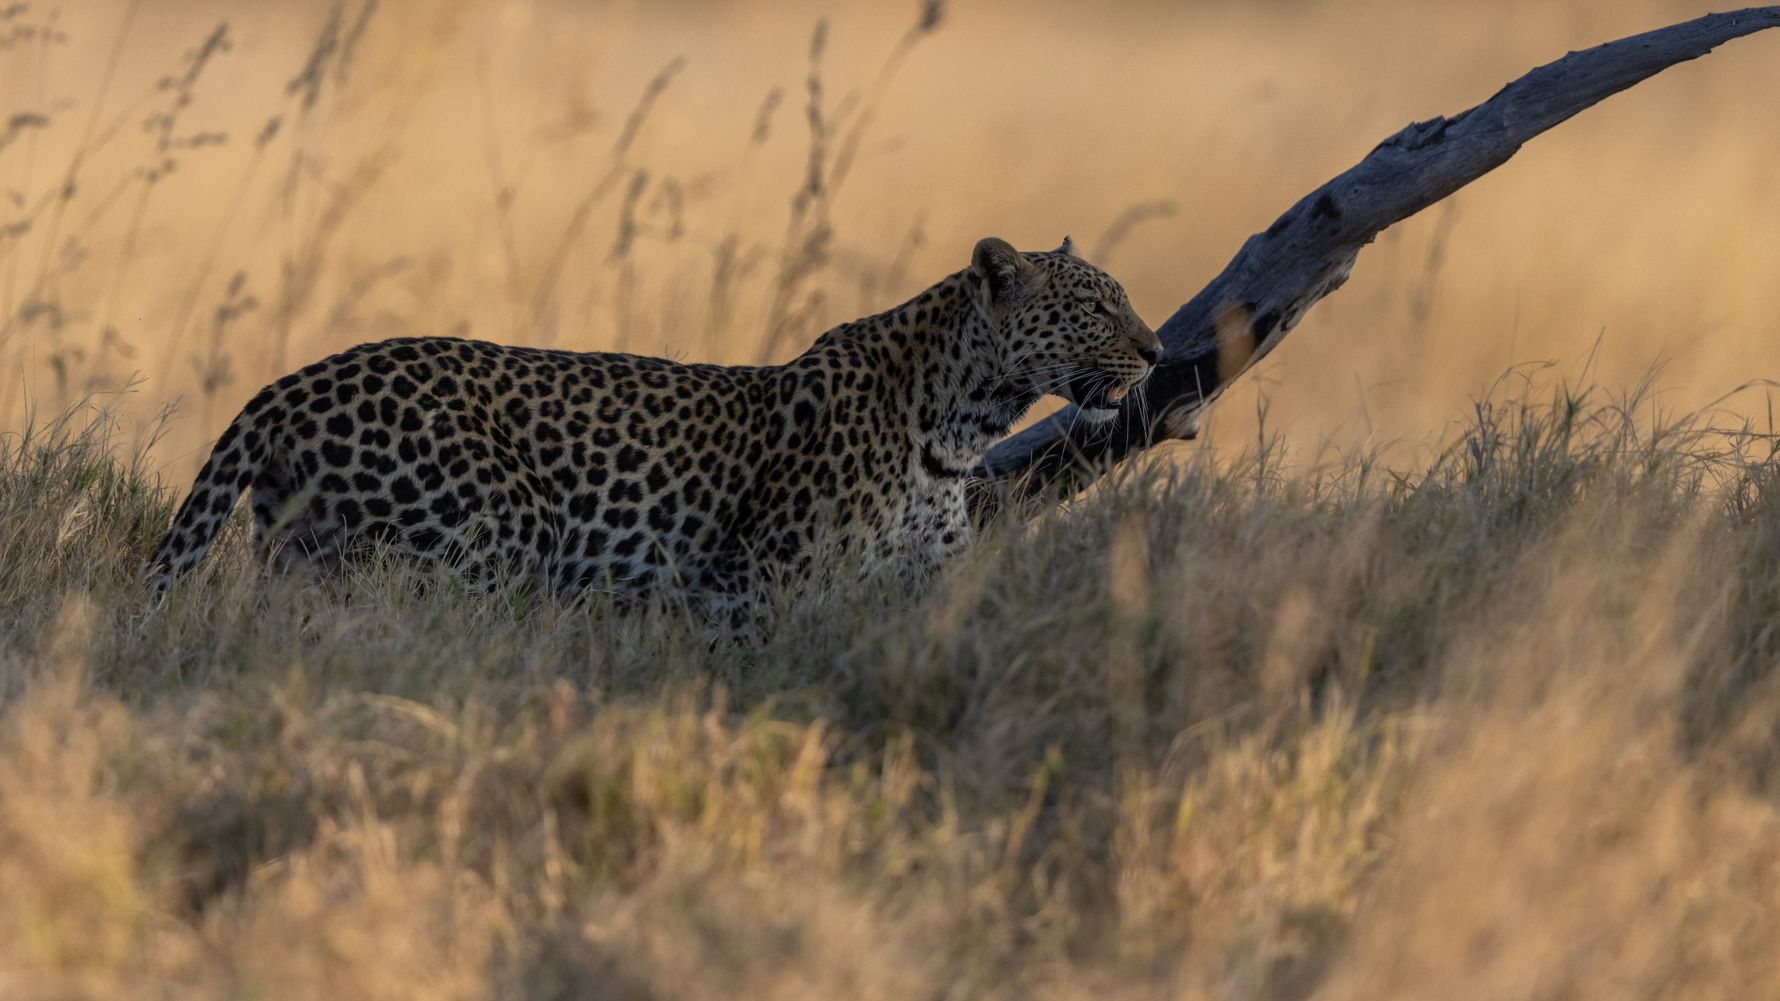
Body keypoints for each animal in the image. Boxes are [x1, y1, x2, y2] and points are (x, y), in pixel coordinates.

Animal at [145, 236, 1160, 594]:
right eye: (1096, 307)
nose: (1155, 353)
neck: (959, 421)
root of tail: (288, 383)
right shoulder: (757, 584)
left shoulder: (924, 582)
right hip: (504, 524)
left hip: (297, 549)